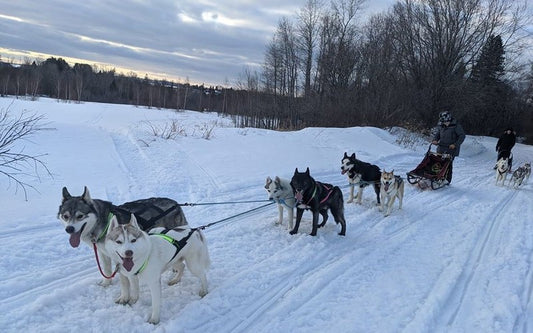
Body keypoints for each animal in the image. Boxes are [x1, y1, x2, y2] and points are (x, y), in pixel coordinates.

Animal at [57, 185, 187, 284]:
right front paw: (106, 284)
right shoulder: (103, 253)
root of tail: (176, 203)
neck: (102, 222)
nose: (69, 229)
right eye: (65, 216)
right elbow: (107, 270)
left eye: (80, 216)